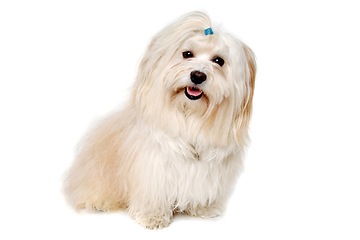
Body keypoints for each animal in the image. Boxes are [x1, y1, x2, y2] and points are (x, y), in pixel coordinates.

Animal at [64, 11, 256, 229]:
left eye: (219, 61)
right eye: (187, 54)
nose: (198, 75)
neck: (190, 118)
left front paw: (203, 208)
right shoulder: (153, 169)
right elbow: (153, 194)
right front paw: (153, 217)